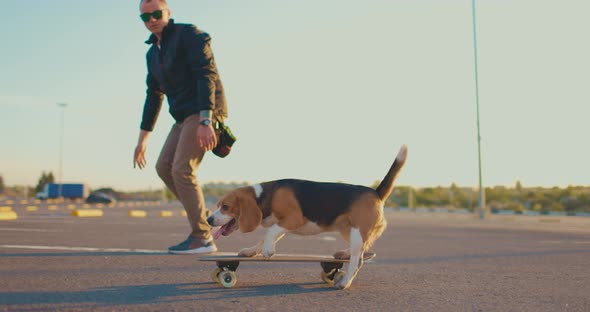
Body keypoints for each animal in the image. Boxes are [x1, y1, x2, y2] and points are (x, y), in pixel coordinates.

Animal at [207, 145, 408, 288]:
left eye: (225, 207)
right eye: (217, 206)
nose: (209, 220)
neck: (264, 196)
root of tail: (375, 192)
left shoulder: (293, 220)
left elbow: (269, 232)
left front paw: (267, 251)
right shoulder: (282, 224)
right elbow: (265, 237)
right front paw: (251, 251)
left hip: (357, 232)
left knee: (357, 261)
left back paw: (344, 282)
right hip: (349, 230)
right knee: (362, 248)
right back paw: (344, 254)